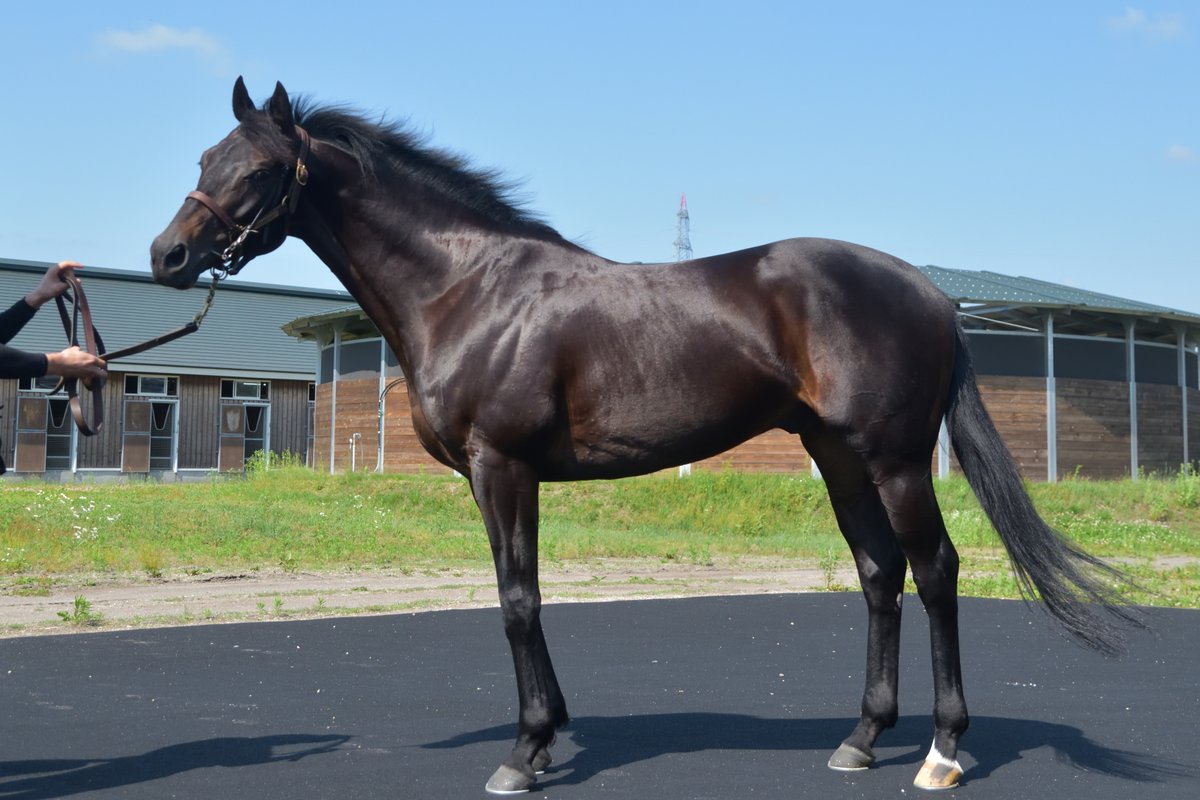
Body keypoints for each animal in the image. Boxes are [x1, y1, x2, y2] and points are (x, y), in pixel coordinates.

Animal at [150, 78, 1137, 794]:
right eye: (204, 155)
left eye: (259, 169)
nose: (168, 255)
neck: (468, 289)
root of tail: (933, 293)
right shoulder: (495, 477)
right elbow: (523, 597)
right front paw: (548, 735)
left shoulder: (502, 467)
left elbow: (517, 603)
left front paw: (523, 754)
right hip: (836, 456)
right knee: (878, 573)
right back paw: (860, 739)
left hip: (894, 460)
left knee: (934, 572)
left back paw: (941, 753)